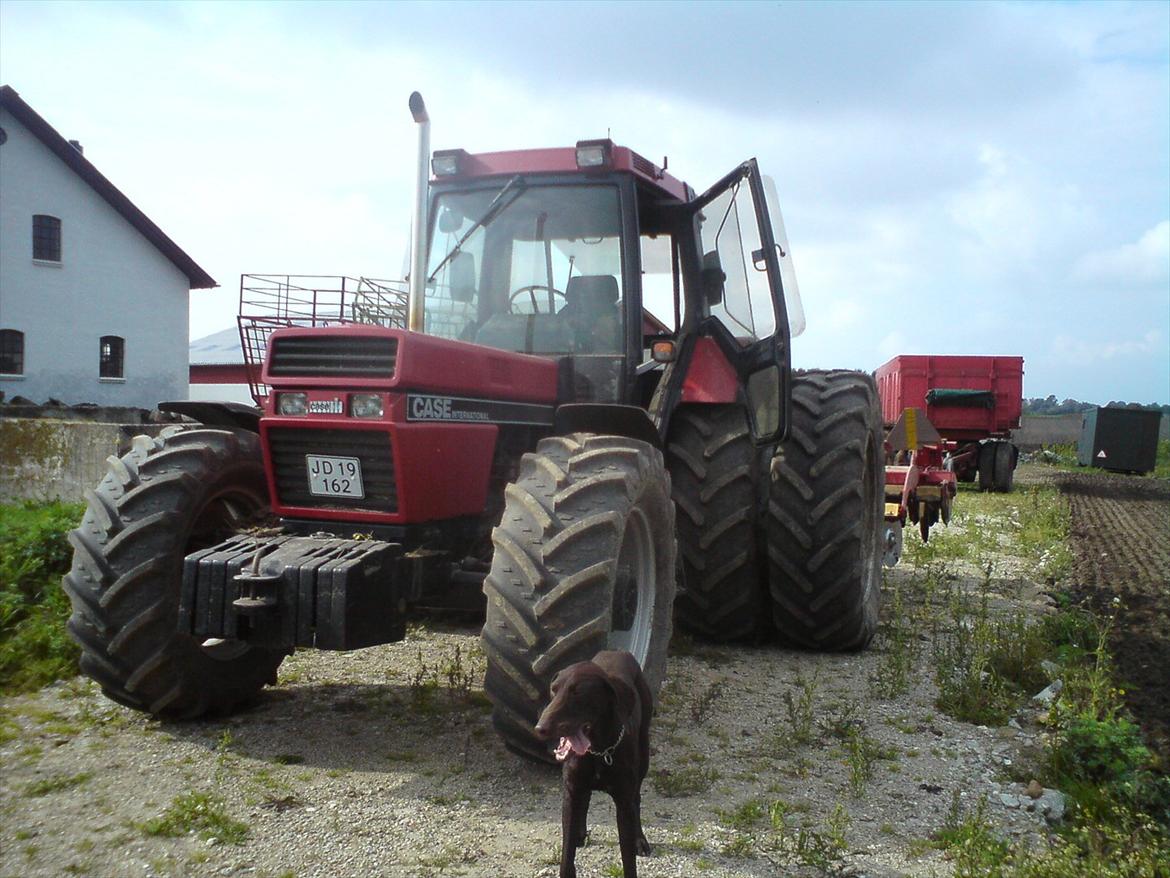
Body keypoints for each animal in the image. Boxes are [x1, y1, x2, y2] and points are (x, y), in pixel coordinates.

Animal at [535, 650, 655, 878]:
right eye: (554, 690)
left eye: (578, 693)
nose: (540, 728)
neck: (599, 752)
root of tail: (619, 651)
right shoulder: (570, 792)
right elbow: (567, 853)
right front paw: (573, 842)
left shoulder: (623, 803)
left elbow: (628, 859)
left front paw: (634, 844)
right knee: (586, 798)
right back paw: (580, 833)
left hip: (644, 754)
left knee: (637, 797)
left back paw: (639, 839)